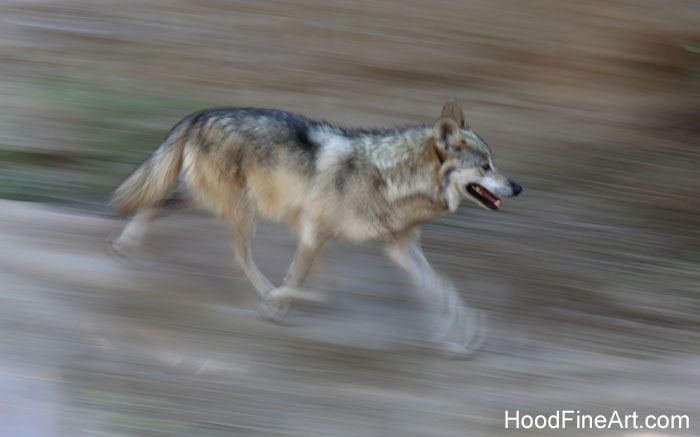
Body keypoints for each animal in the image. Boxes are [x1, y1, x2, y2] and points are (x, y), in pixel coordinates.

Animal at [110, 100, 522, 356]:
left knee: (153, 205)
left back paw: (125, 247)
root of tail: (199, 115)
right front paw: (275, 303)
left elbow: (443, 290)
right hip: (243, 212)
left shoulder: (398, 248)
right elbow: (311, 288)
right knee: (236, 256)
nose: (518, 187)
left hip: (204, 200)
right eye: (485, 166)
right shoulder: (313, 233)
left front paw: (465, 336)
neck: (394, 179)